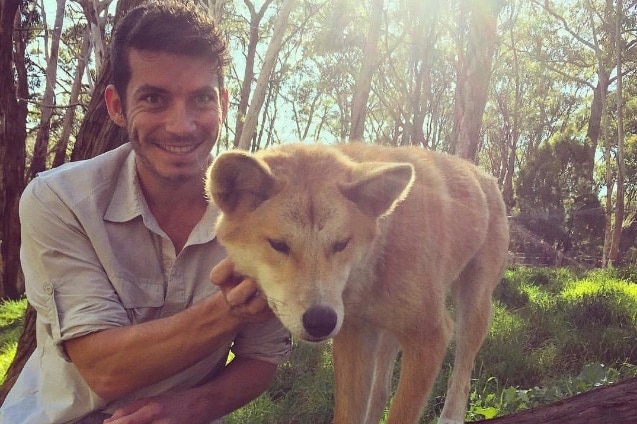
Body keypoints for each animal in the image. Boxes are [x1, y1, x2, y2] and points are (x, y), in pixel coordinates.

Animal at [206, 143, 510, 424]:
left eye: (341, 243)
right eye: (278, 244)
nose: (320, 321)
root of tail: (483, 173)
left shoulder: (431, 335)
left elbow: (401, 414)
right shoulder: (354, 336)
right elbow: (349, 412)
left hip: (472, 311)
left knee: (462, 376)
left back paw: (451, 415)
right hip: (389, 332)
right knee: (381, 390)